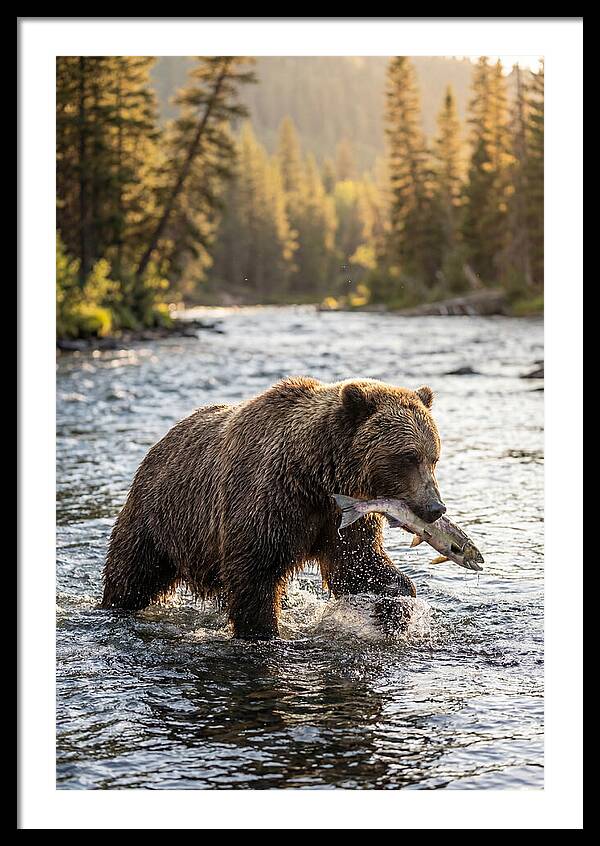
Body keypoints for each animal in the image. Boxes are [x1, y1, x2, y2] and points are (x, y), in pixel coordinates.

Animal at [101, 377, 446, 640]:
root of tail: (160, 442)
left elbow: (359, 564)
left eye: (433, 457)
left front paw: (396, 606)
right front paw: (262, 631)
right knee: (132, 573)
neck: (316, 476)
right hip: (160, 517)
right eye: (408, 456)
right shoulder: (269, 501)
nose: (435, 507)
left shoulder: (341, 516)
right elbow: (254, 574)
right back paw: (114, 606)